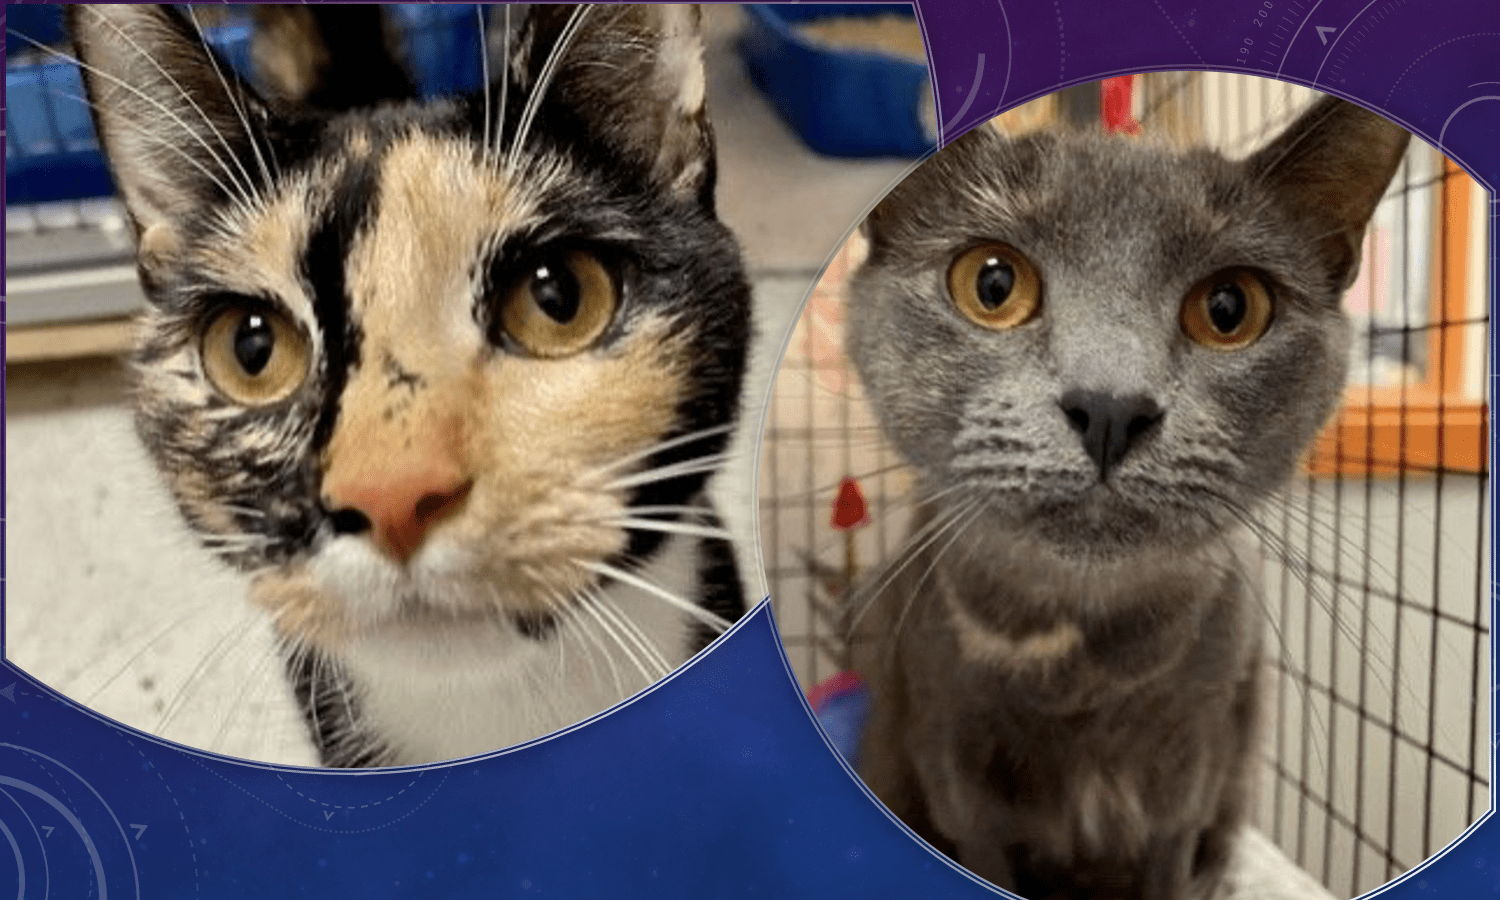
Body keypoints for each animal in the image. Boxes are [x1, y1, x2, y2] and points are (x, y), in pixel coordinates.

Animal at [852, 98, 1410, 900]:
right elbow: (985, 851)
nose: (1110, 407)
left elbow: (1172, 859)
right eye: (992, 285)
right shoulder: (956, 765)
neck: (1082, 661)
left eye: (1229, 308)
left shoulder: (1192, 764)